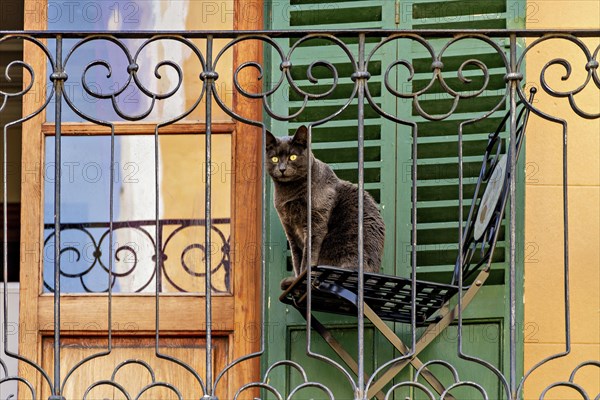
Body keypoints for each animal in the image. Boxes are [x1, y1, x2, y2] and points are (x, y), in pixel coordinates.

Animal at [266, 125, 384, 288]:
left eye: (293, 157)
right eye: (274, 158)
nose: (282, 169)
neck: (288, 194)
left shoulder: (315, 224)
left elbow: (307, 257)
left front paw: (301, 278)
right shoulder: (290, 230)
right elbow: (297, 258)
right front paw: (296, 278)